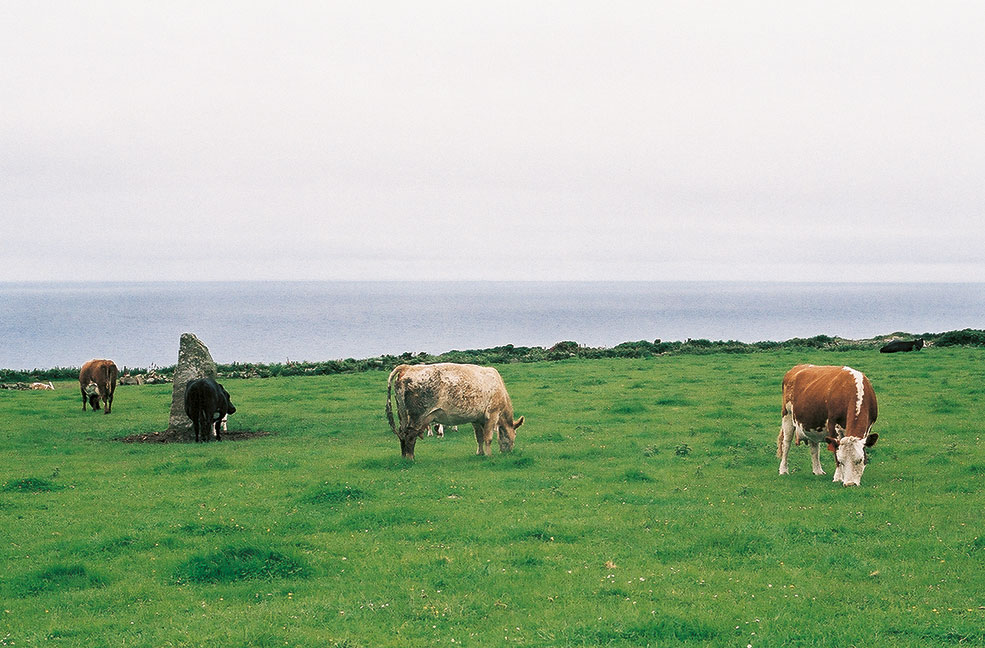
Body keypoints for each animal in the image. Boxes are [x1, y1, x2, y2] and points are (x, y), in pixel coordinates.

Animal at [384, 364, 524, 460]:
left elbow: (479, 437)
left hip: (402, 414)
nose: (508, 452)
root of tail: (407, 367)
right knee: (410, 436)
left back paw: (404, 457)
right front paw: (489, 455)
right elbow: (488, 438)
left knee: (402, 435)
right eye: (515, 434)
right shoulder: (493, 414)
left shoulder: (476, 419)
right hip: (417, 416)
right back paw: (410, 458)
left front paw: (480, 453)